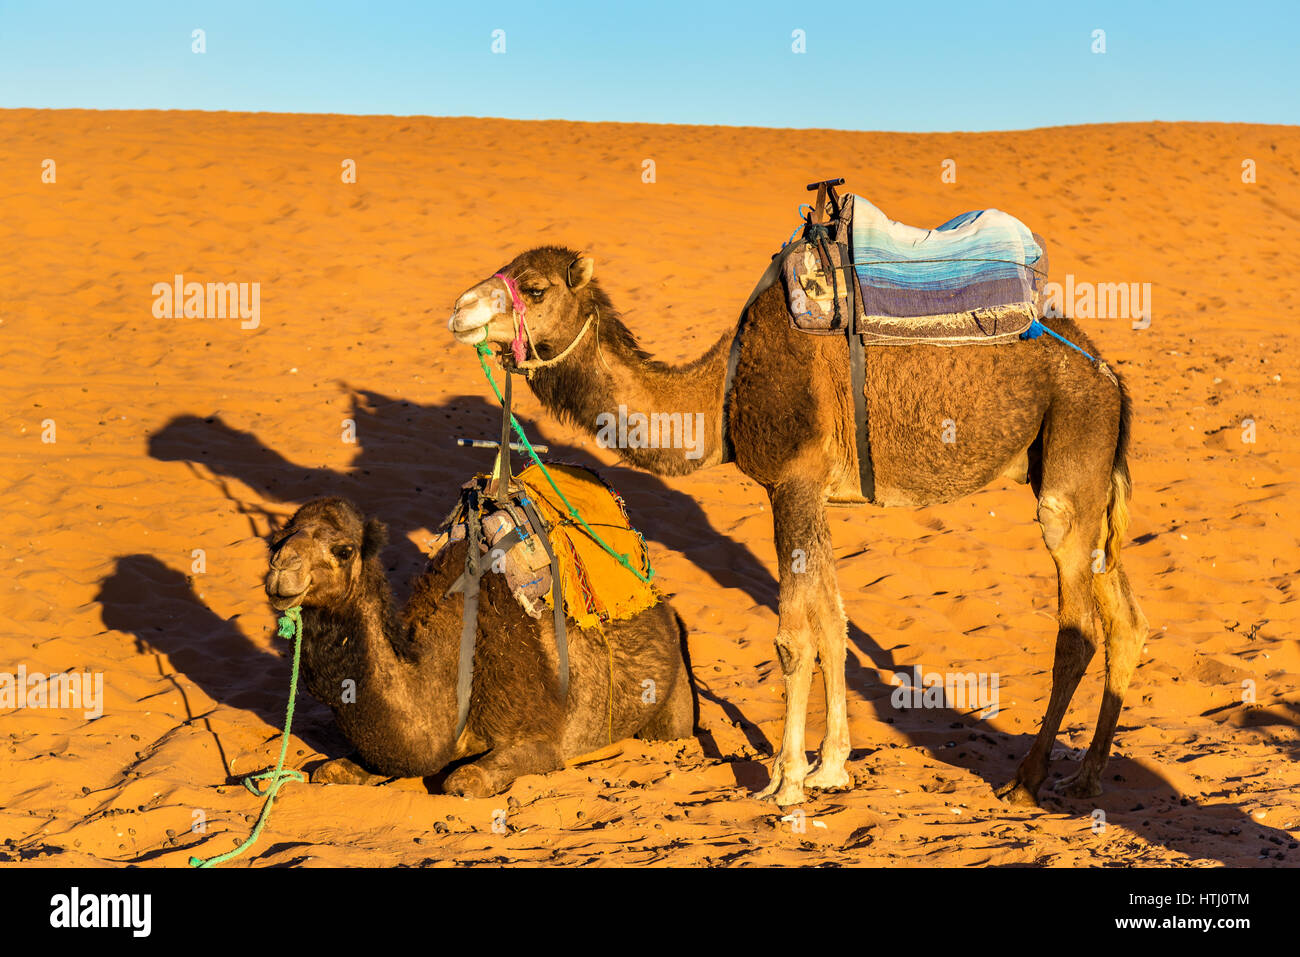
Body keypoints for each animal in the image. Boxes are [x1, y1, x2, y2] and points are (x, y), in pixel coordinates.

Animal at [257, 496, 696, 795]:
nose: (281, 570)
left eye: (344, 550)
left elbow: (463, 781)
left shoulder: (539, 740)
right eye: (274, 542)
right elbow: (329, 770)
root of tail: (664, 605)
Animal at [447, 243, 1149, 806]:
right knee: (1126, 619)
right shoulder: (814, 495)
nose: (458, 309)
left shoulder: (790, 483)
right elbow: (833, 625)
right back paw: (1086, 777)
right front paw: (830, 768)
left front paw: (783, 783)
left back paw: (1028, 780)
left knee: (1078, 630)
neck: (719, 393)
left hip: (1069, 458)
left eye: (536, 288)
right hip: (1085, 478)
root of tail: (1110, 374)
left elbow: (793, 638)